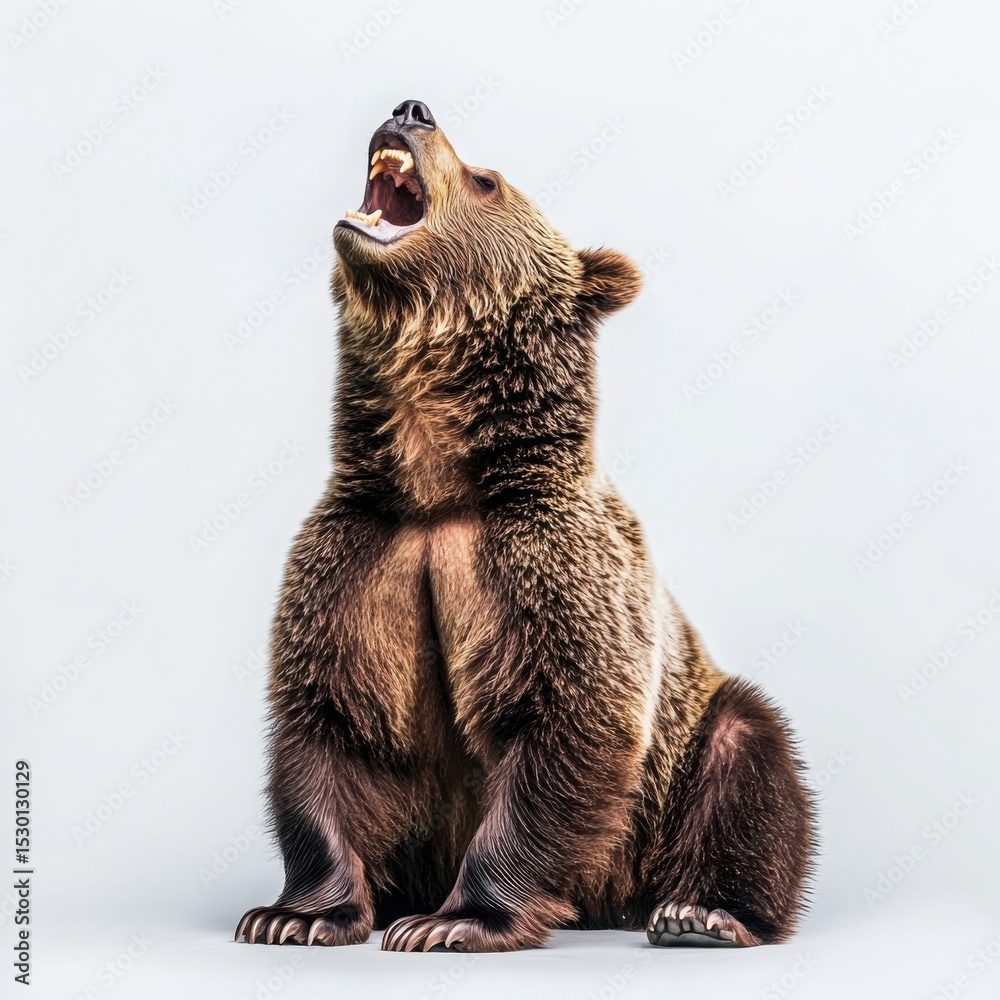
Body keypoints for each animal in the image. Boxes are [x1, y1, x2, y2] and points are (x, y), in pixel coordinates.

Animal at [234, 100, 815, 953]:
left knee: (748, 755)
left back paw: (702, 912)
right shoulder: (361, 551)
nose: (411, 109)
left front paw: (452, 921)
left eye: (486, 178)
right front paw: (294, 914)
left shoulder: (544, 563)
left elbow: (566, 721)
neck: (439, 480)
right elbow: (334, 721)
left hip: (677, 773)